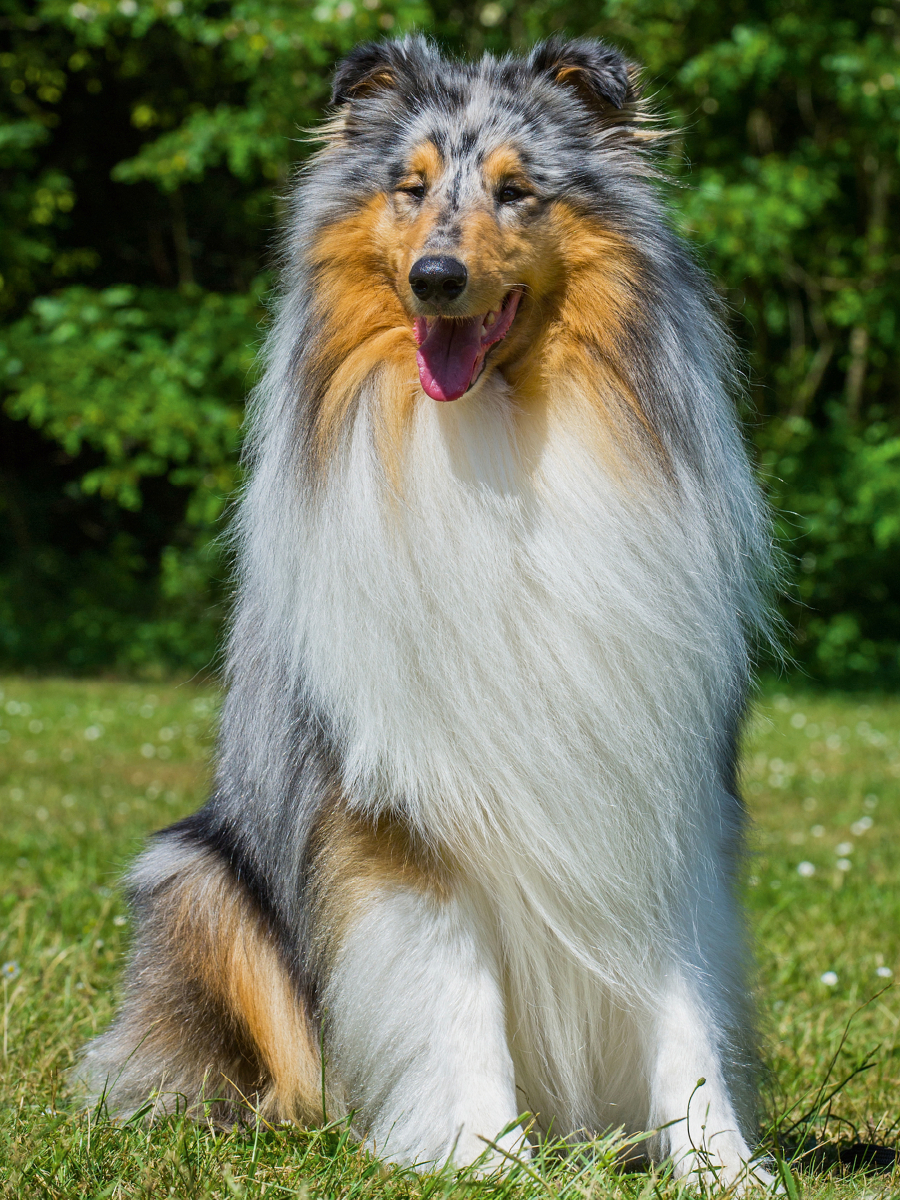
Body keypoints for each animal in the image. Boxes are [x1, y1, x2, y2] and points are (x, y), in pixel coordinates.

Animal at [81, 37, 777, 1190]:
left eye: (517, 189)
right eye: (409, 189)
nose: (436, 279)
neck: (497, 439)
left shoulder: (655, 775)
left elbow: (685, 1005)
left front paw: (721, 1162)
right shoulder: (401, 805)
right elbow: (455, 995)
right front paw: (482, 1154)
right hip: (198, 878)